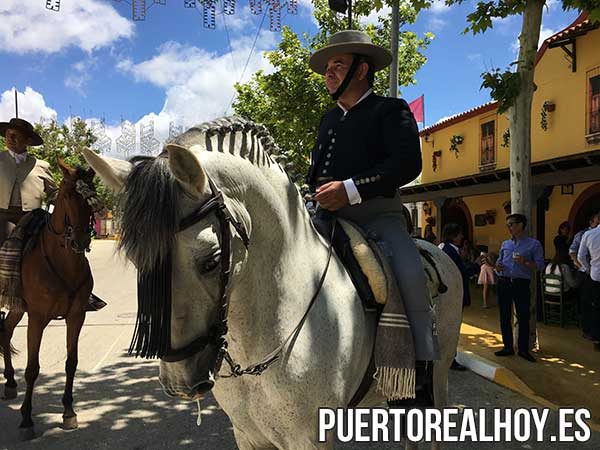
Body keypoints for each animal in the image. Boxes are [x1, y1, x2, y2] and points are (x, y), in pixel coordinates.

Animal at [0, 158, 96, 440]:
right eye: (66, 195)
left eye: (92, 197)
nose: (80, 240)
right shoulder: (37, 318)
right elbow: (33, 369)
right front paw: (26, 420)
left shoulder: (76, 316)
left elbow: (71, 362)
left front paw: (68, 412)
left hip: (17, 308)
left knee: (5, 331)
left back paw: (10, 382)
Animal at [82, 118, 462, 448]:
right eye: (137, 262)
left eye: (211, 261)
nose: (179, 382)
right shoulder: (248, 436)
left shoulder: (311, 440)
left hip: (439, 379)